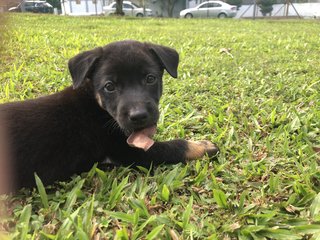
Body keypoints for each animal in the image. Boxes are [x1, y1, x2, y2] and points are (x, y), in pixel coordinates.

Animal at [0, 40, 219, 189]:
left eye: (150, 78)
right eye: (109, 86)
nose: (139, 116)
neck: (96, 105)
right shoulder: (128, 151)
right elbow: (173, 147)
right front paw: (202, 146)